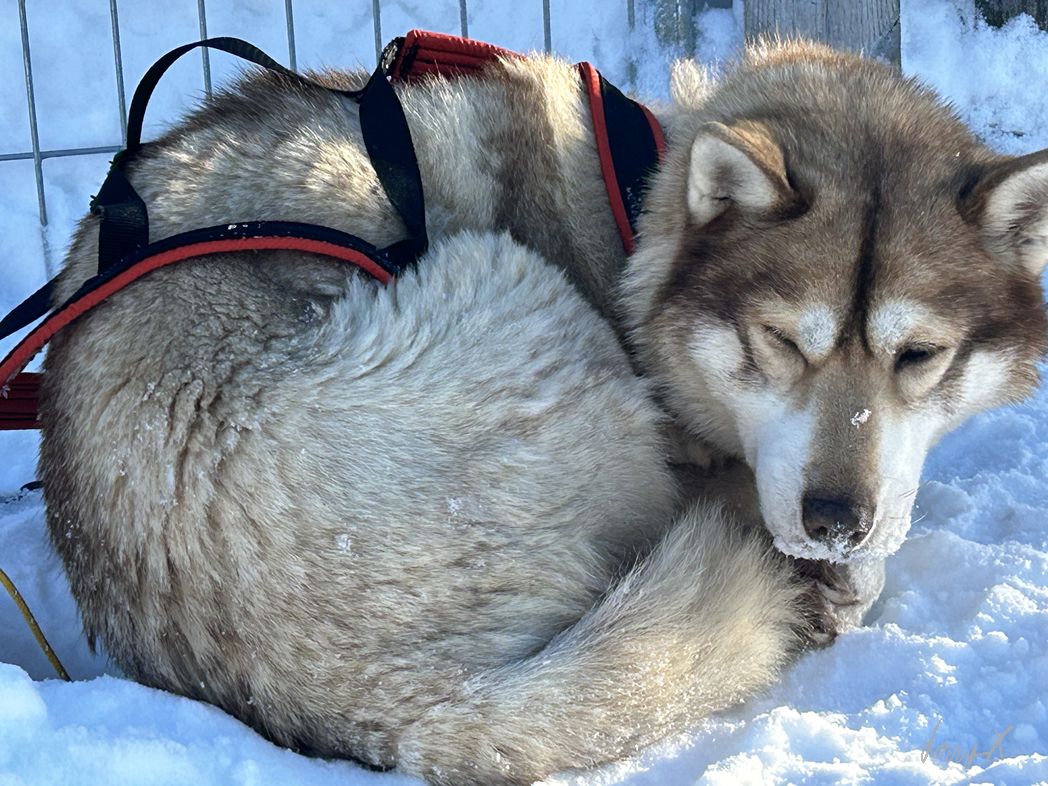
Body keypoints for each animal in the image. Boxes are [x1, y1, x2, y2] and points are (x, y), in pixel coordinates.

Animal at [37, 39, 1046, 785]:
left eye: (919, 356)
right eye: (782, 342)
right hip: (518, 294)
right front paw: (828, 562)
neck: (637, 202)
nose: (835, 519)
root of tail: (370, 699)